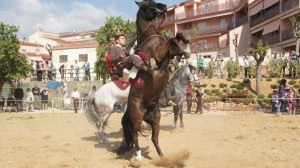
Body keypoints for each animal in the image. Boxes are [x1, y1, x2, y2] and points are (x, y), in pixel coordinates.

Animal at [115, 0, 190, 160]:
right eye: (148, 4)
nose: (164, 6)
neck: (151, 36)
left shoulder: (169, 53)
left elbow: (178, 36)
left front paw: (186, 49)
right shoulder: (159, 54)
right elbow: (172, 39)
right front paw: (183, 51)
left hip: (156, 119)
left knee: (154, 138)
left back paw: (162, 157)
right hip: (137, 119)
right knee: (135, 136)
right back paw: (137, 157)